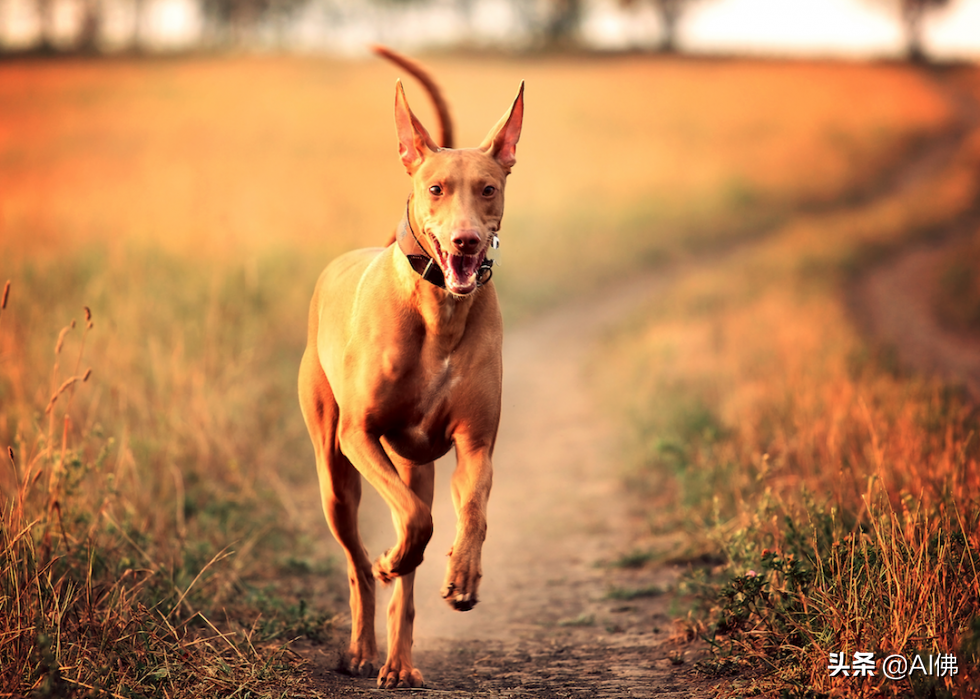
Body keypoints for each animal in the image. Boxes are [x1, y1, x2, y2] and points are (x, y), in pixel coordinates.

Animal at [296, 47, 524, 688]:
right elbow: (415, 524)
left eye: (488, 189)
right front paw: (394, 558)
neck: (439, 310)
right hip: (335, 474)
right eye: (436, 189)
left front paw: (463, 576)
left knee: (409, 551)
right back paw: (361, 645)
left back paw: (398, 661)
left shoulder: (475, 446)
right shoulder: (358, 435)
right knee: (360, 562)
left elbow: (471, 513)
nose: (467, 242)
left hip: (412, 462)